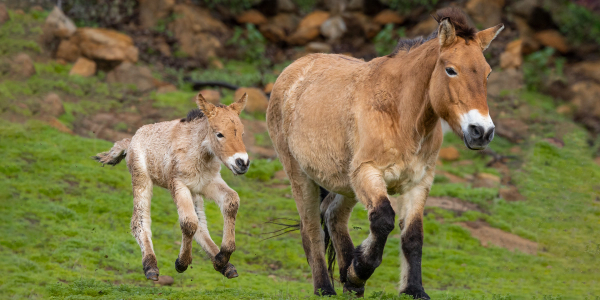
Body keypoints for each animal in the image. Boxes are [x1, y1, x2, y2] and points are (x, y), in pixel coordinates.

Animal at [93, 93, 251, 282]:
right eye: (219, 134)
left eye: (242, 133)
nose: (242, 163)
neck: (198, 152)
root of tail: (131, 140)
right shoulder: (178, 184)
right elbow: (188, 223)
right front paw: (181, 264)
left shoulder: (207, 182)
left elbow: (231, 201)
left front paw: (222, 258)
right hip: (141, 178)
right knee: (139, 220)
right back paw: (150, 266)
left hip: (194, 192)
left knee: (201, 224)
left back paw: (225, 266)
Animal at [266, 7, 502, 300]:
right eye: (451, 70)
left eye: (487, 73)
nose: (482, 132)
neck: (400, 115)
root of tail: (295, 68)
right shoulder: (368, 173)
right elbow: (383, 221)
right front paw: (360, 270)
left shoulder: (418, 183)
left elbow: (413, 235)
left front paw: (412, 289)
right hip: (300, 175)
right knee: (311, 229)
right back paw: (325, 287)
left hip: (344, 183)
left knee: (333, 216)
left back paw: (348, 279)